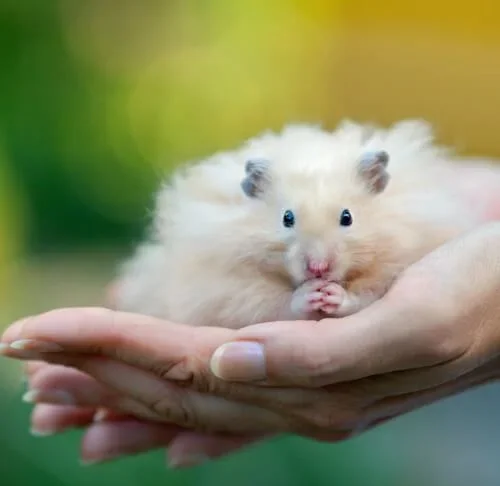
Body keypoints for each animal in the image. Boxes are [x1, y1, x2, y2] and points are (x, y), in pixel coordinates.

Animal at [114, 119, 484, 328]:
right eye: (287, 218)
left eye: (347, 217)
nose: (318, 269)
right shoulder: (224, 291)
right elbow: (272, 303)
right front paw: (309, 296)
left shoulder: (396, 261)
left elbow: (366, 294)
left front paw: (331, 295)